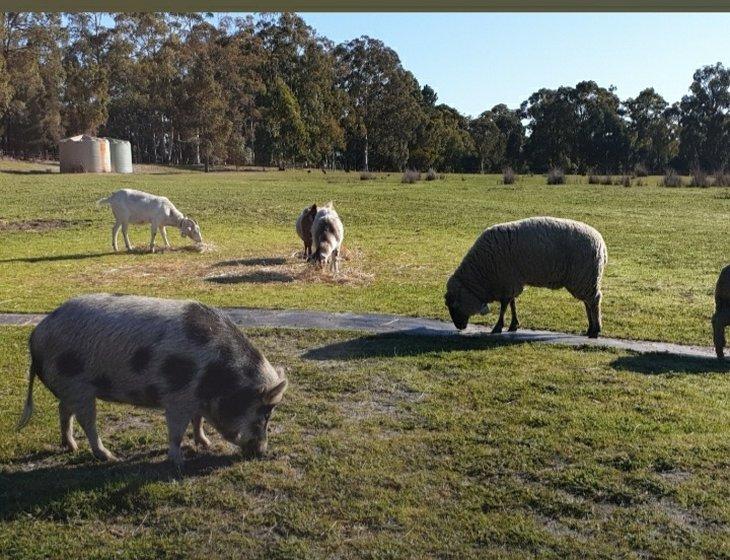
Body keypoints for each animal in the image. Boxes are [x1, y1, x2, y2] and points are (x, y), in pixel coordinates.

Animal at [446, 215, 604, 336]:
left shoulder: (506, 280)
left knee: (594, 301)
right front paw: (513, 325)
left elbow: (504, 305)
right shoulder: (511, 281)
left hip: (583, 277)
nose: (459, 327)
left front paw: (498, 327)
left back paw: (595, 330)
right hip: (585, 279)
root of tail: (602, 245)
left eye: (453, 306)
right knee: (587, 302)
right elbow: (512, 303)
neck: (481, 272)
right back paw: (590, 328)